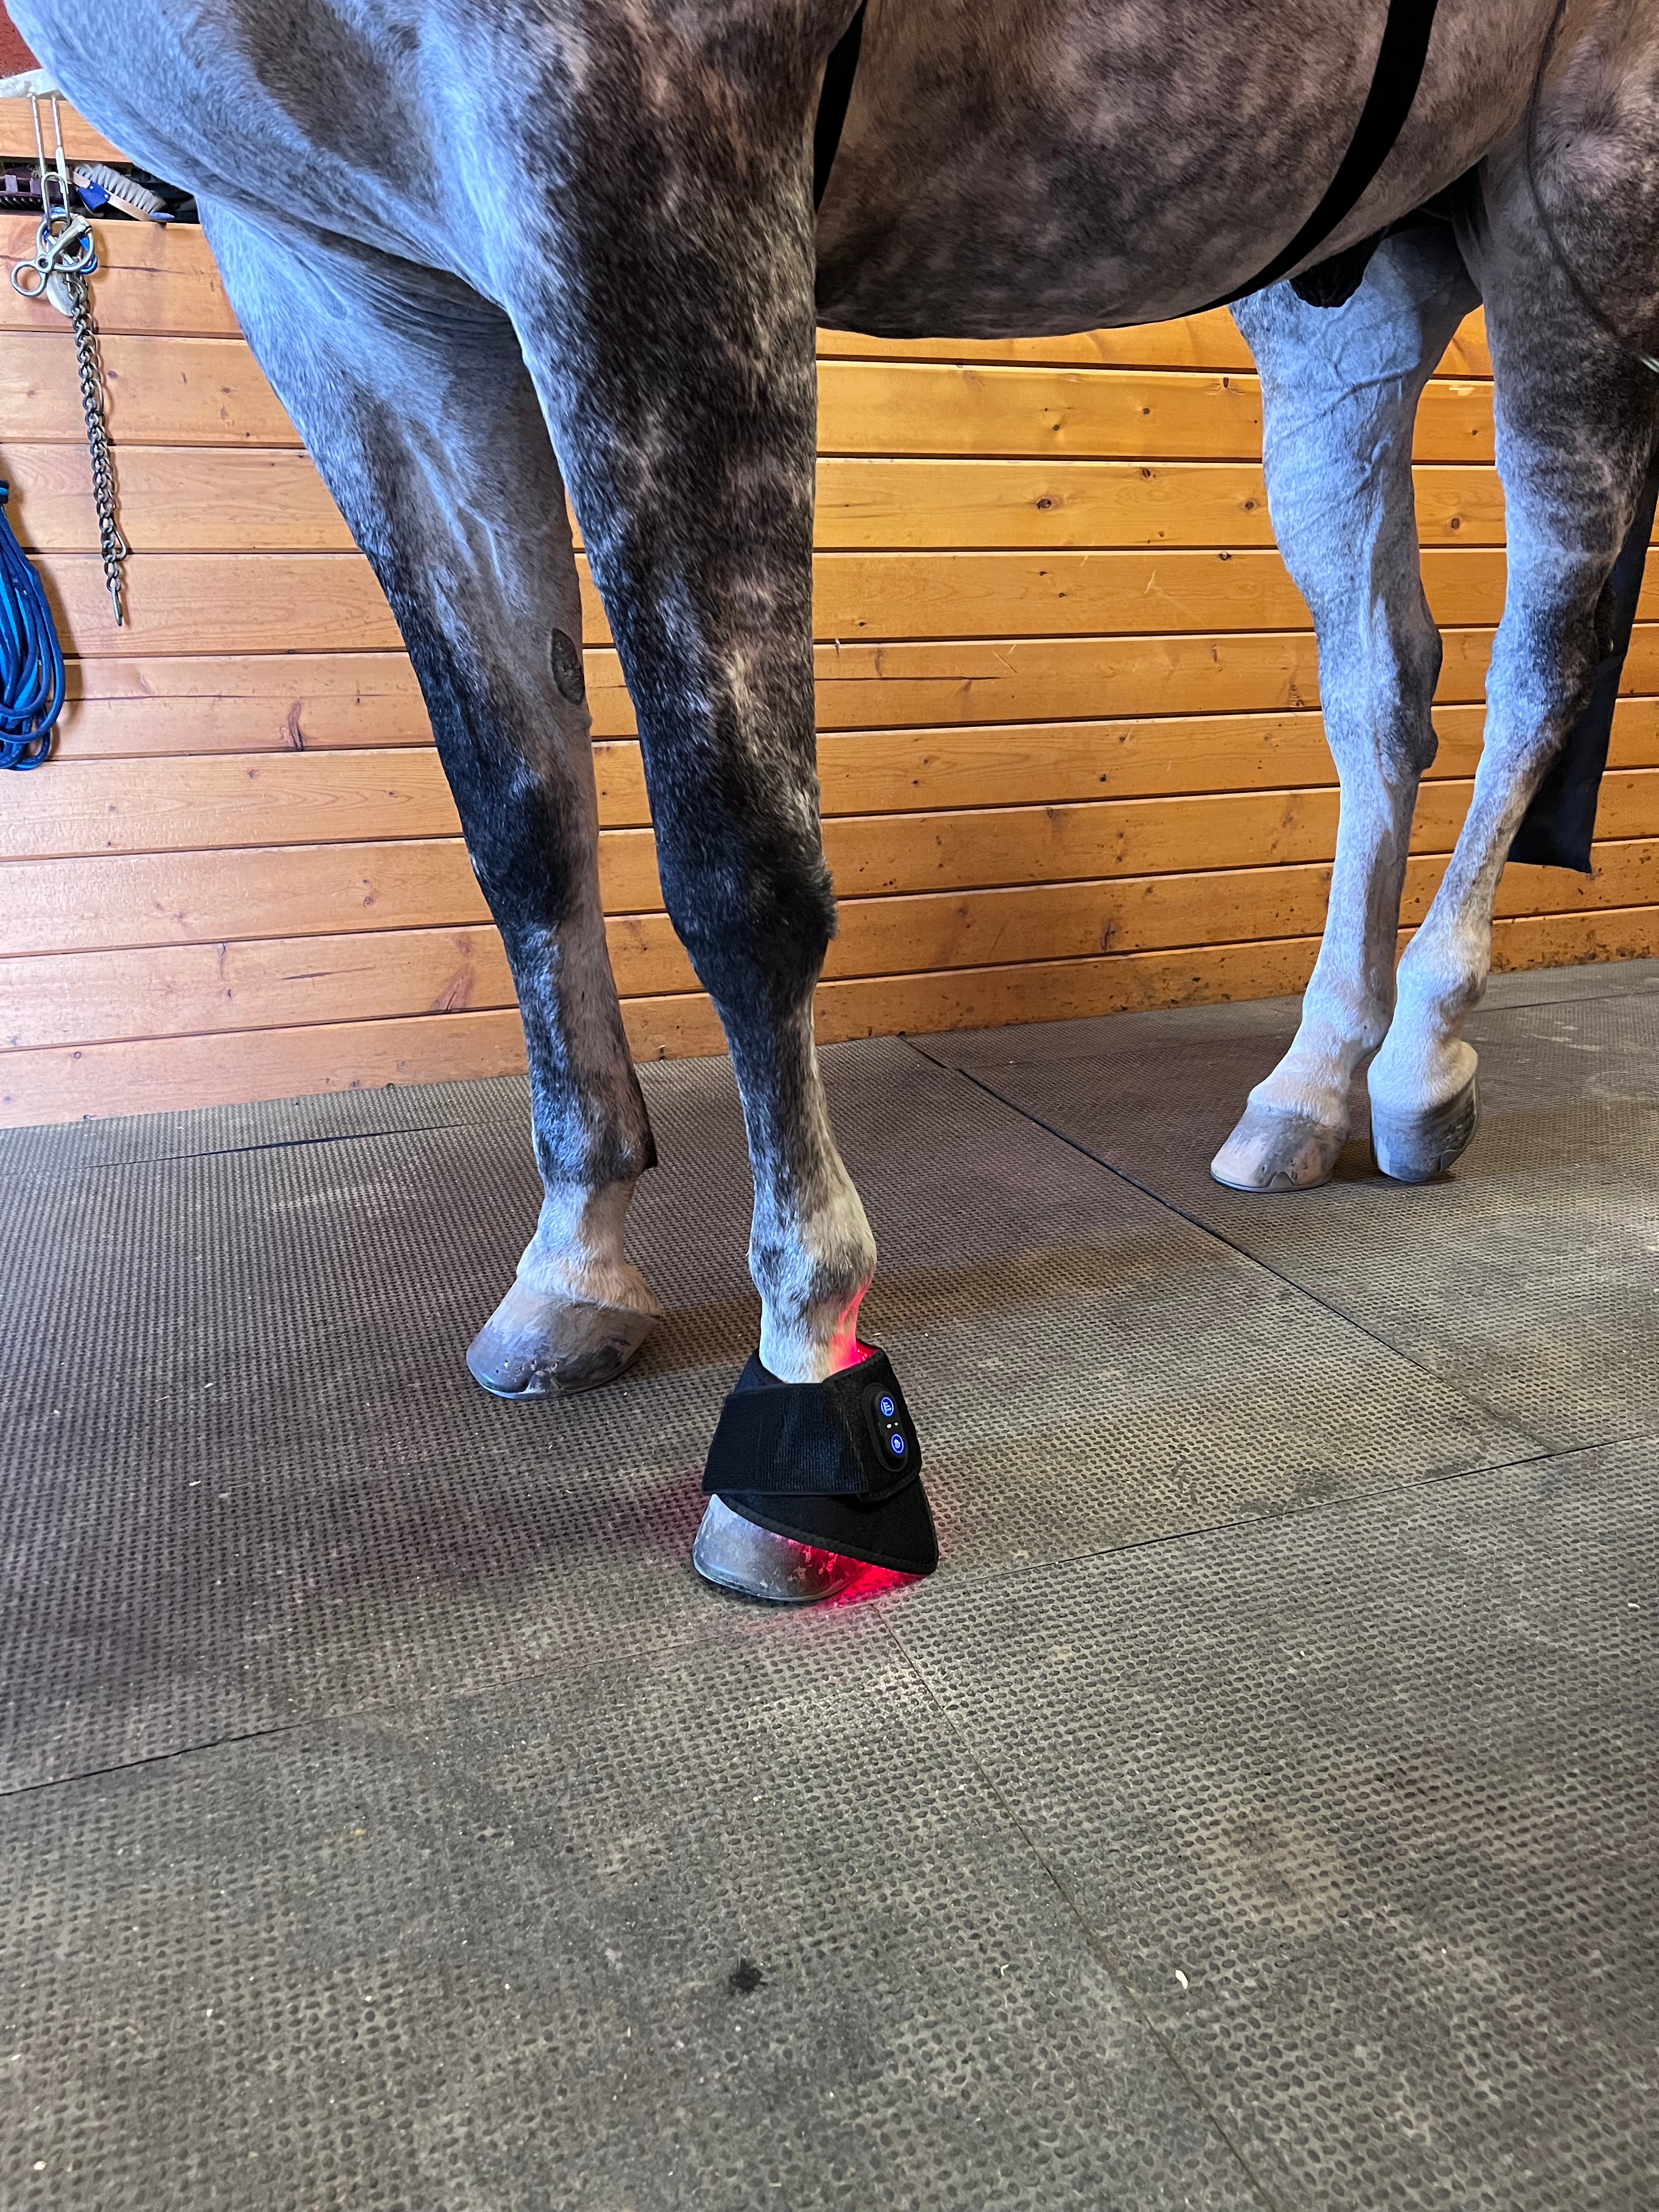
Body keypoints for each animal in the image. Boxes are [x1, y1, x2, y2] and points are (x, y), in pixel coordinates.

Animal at [12, 0, 1657, 1600]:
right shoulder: (338, 275)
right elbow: (519, 817)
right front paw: (575, 1260)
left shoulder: (642, 167)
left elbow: (741, 874)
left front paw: (804, 1394)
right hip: (1353, 299)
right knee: (1384, 685)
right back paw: (1313, 1089)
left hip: (1581, 216)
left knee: (1545, 651)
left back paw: (1425, 1064)